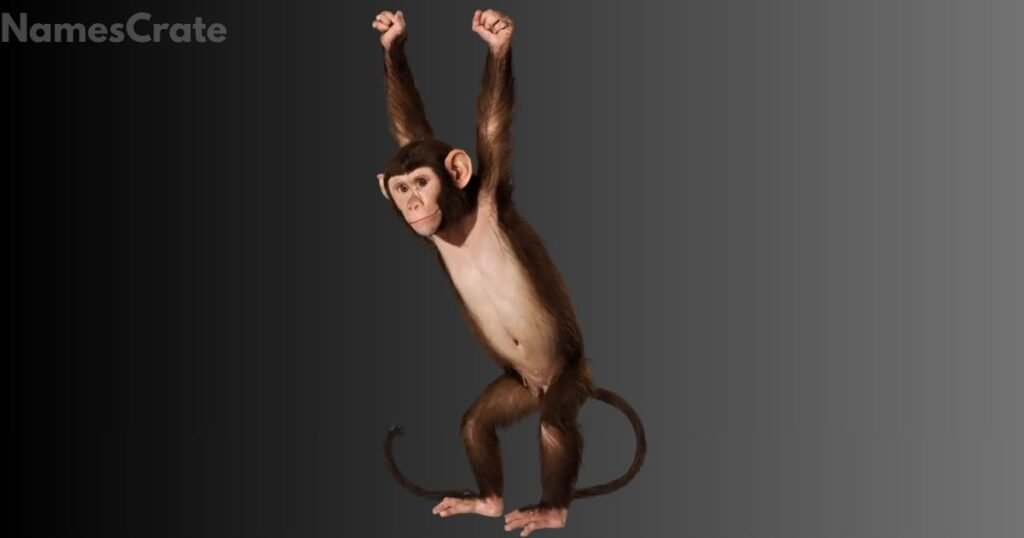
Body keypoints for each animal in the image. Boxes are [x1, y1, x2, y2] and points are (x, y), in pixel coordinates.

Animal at [371, 9, 646, 536]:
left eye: (422, 182)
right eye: (401, 186)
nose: (413, 204)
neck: (457, 222)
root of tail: (541, 387)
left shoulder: (491, 188)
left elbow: (494, 120)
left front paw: (497, 40)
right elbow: (407, 124)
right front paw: (392, 37)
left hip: (568, 381)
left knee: (556, 426)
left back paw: (553, 509)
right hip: (516, 388)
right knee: (477, 423)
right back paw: (487, 501)